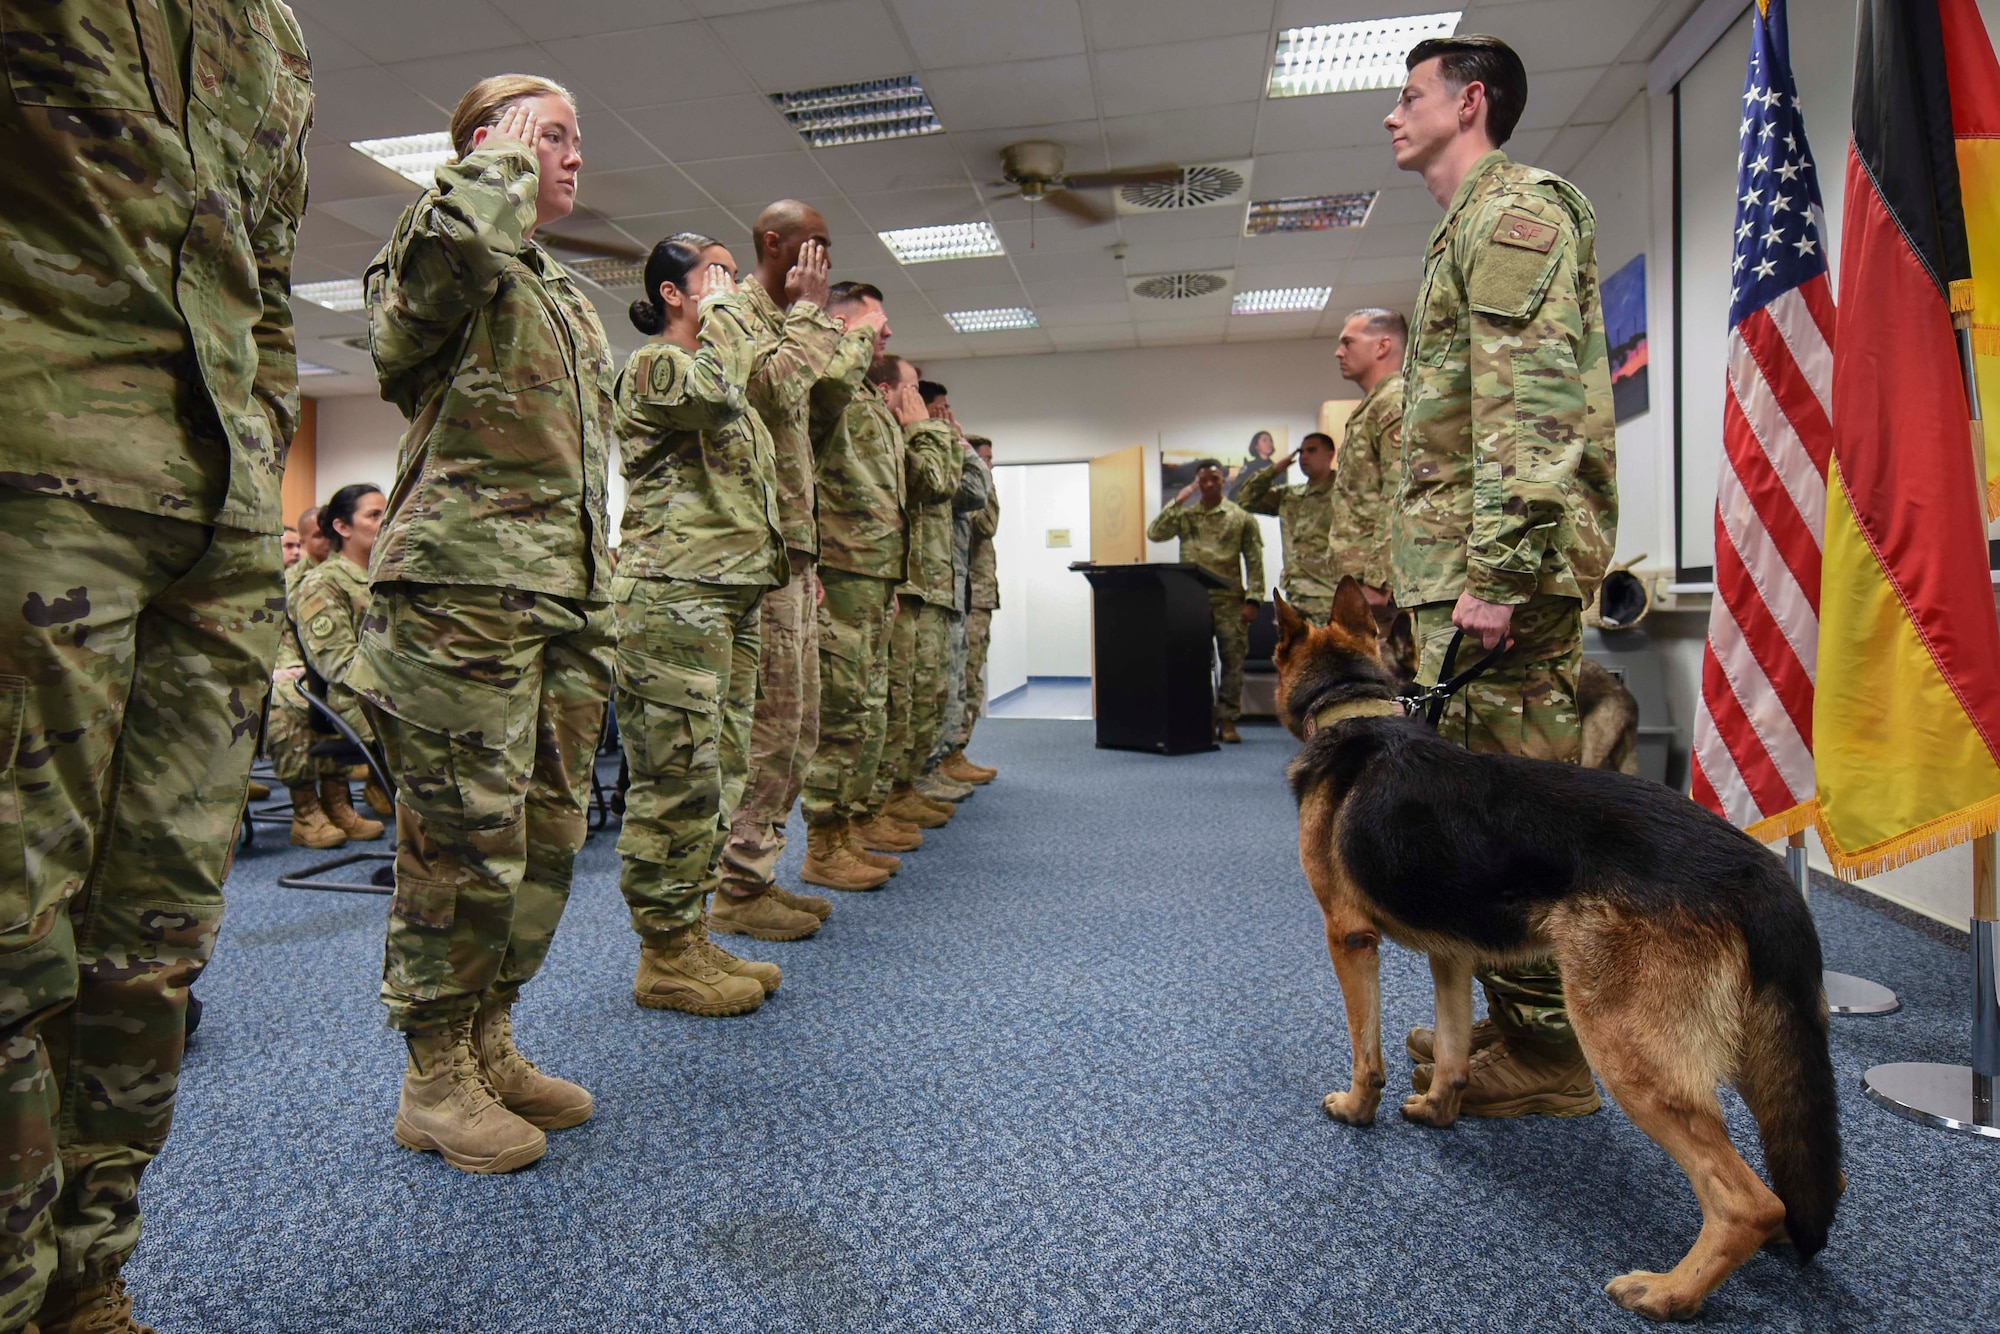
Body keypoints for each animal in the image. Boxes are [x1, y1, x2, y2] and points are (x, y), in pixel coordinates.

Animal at [1272, 584, 1832, 1328]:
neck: (1352, 706)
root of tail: (1755, 869)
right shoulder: (1452, 954)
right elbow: (1451, 1048)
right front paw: (1438, 1111)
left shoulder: (1349, 939)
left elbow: (1368, 1052)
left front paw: (1357, 1109)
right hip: (1754, 1052)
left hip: (1624, 1045)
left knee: (1747, 1202)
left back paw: (1670, 1292)